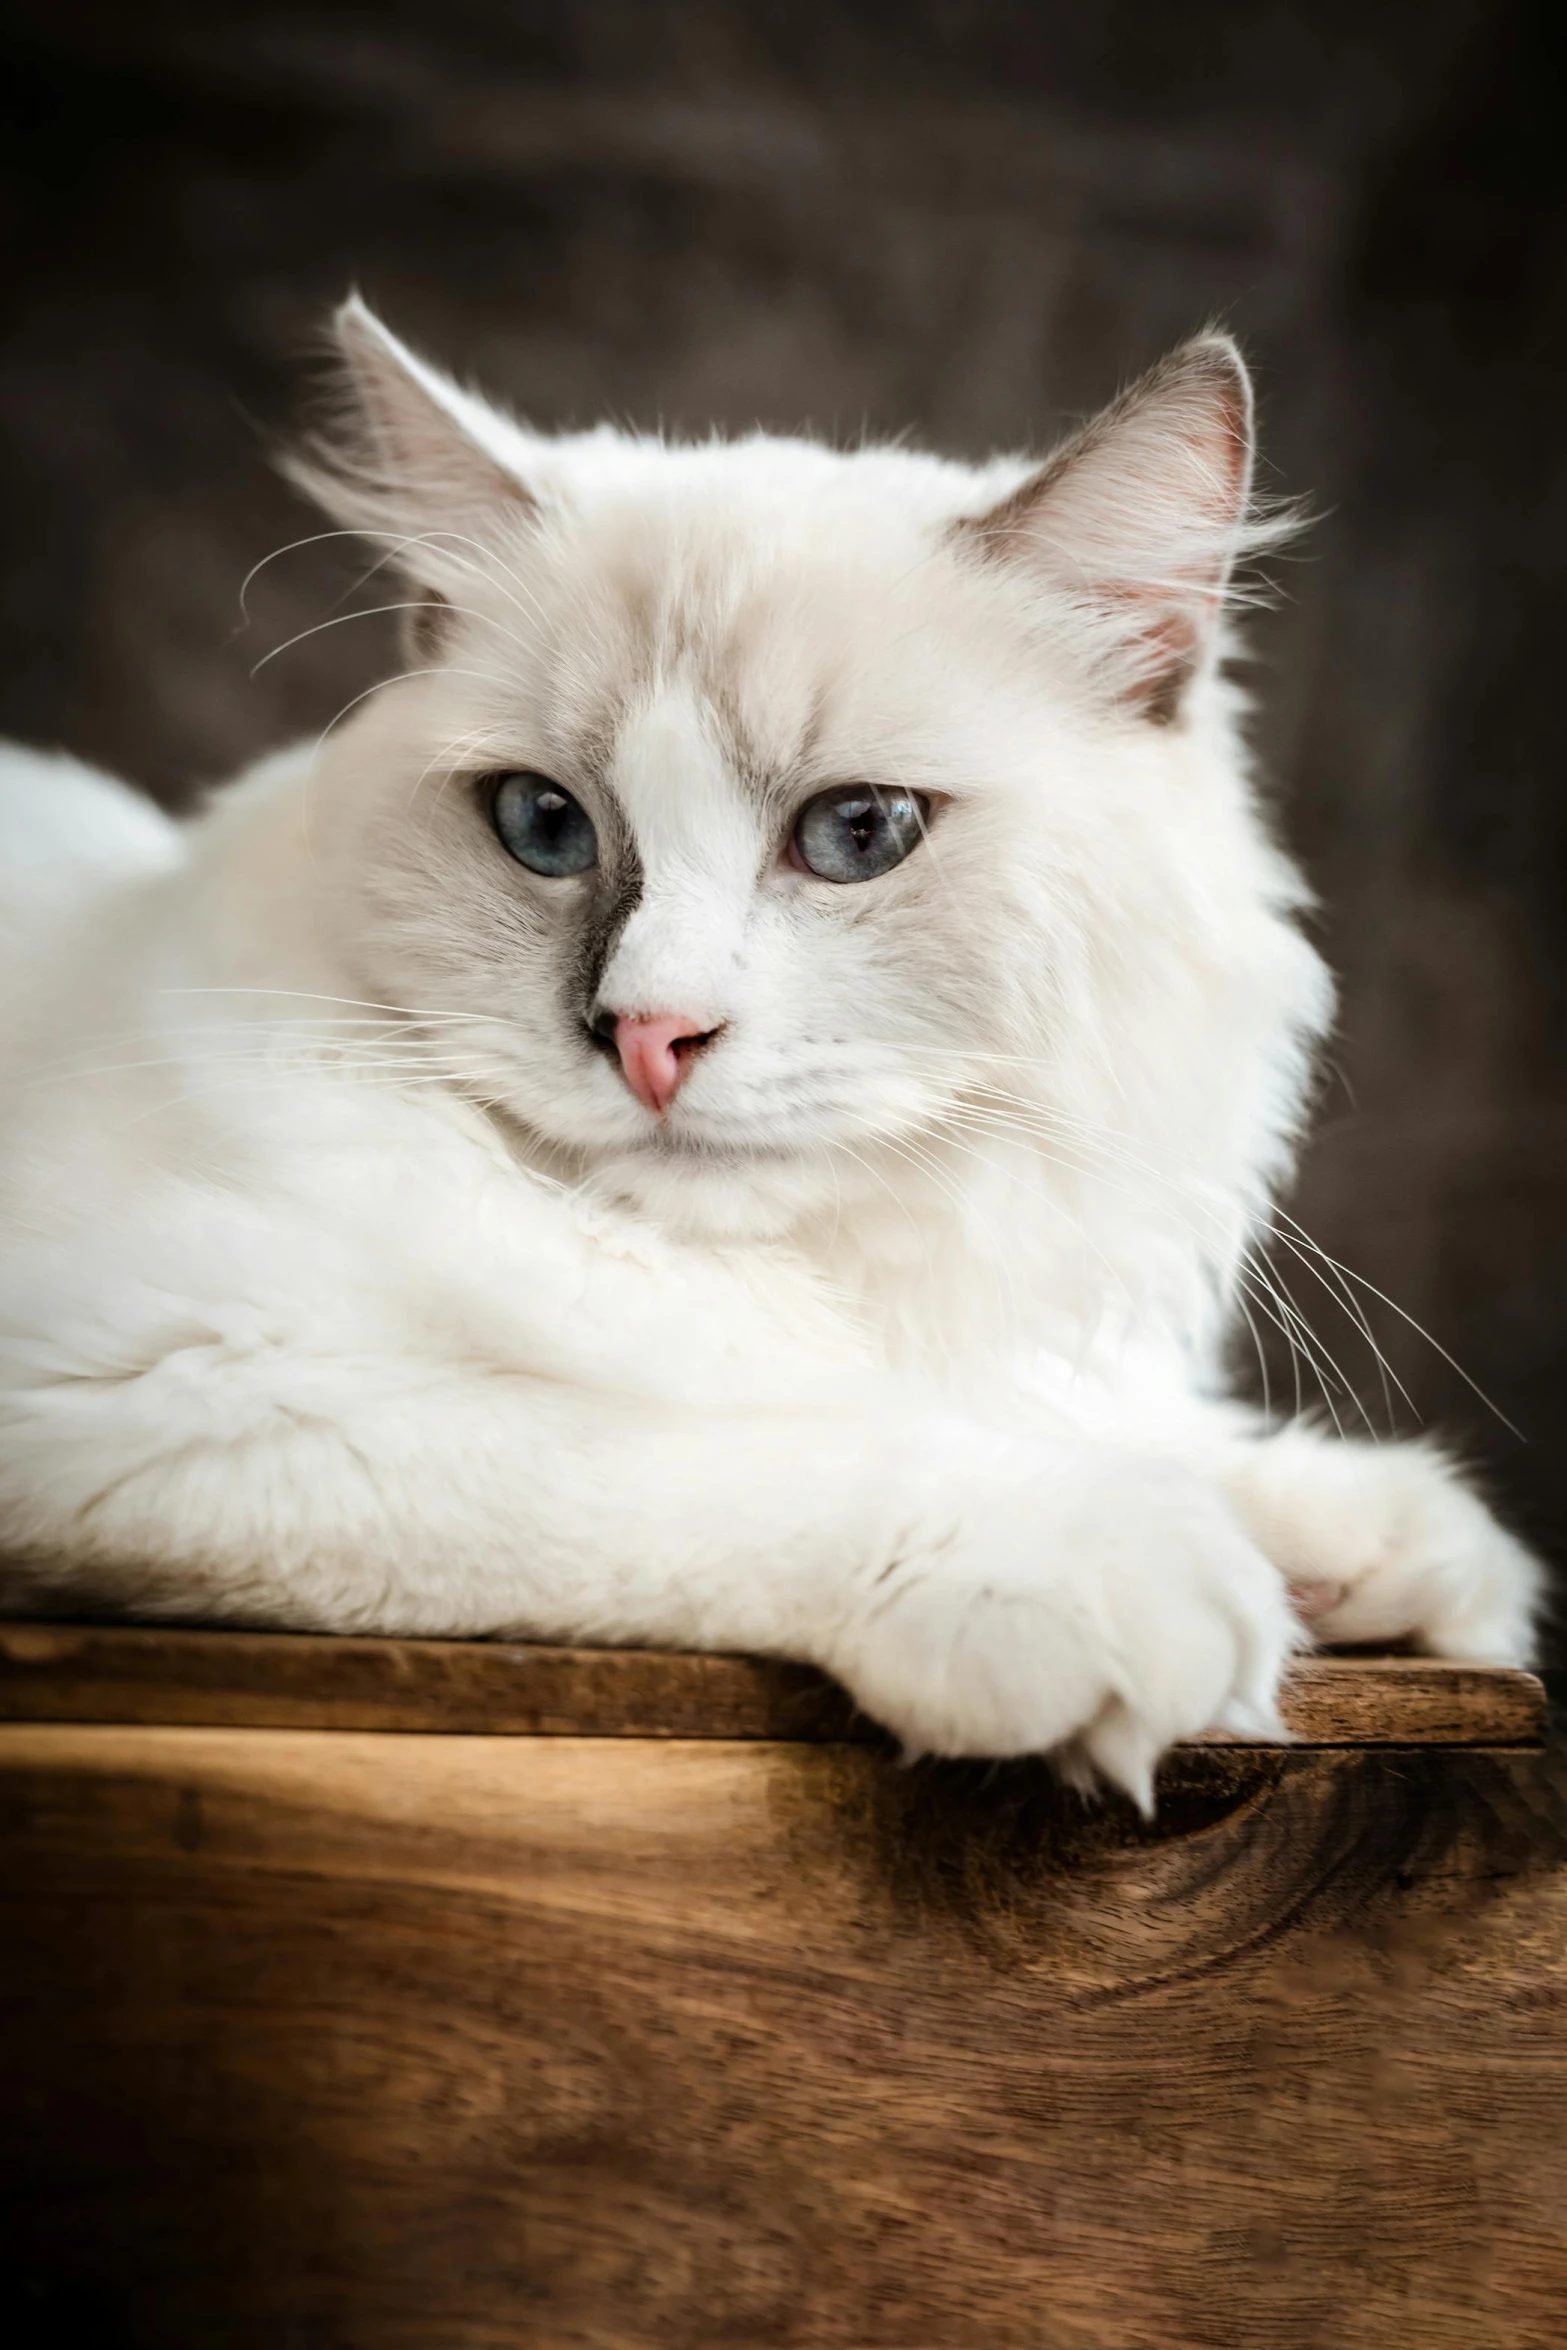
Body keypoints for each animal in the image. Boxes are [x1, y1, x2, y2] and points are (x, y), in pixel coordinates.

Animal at [0, 293, 1541, 1795]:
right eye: (542, 825)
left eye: (857, 833)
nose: (647, 1033)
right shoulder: (162, 1380)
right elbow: (702, 1449)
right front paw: (1108, 1561)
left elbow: (1105, 1422)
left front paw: (1360, 1542)